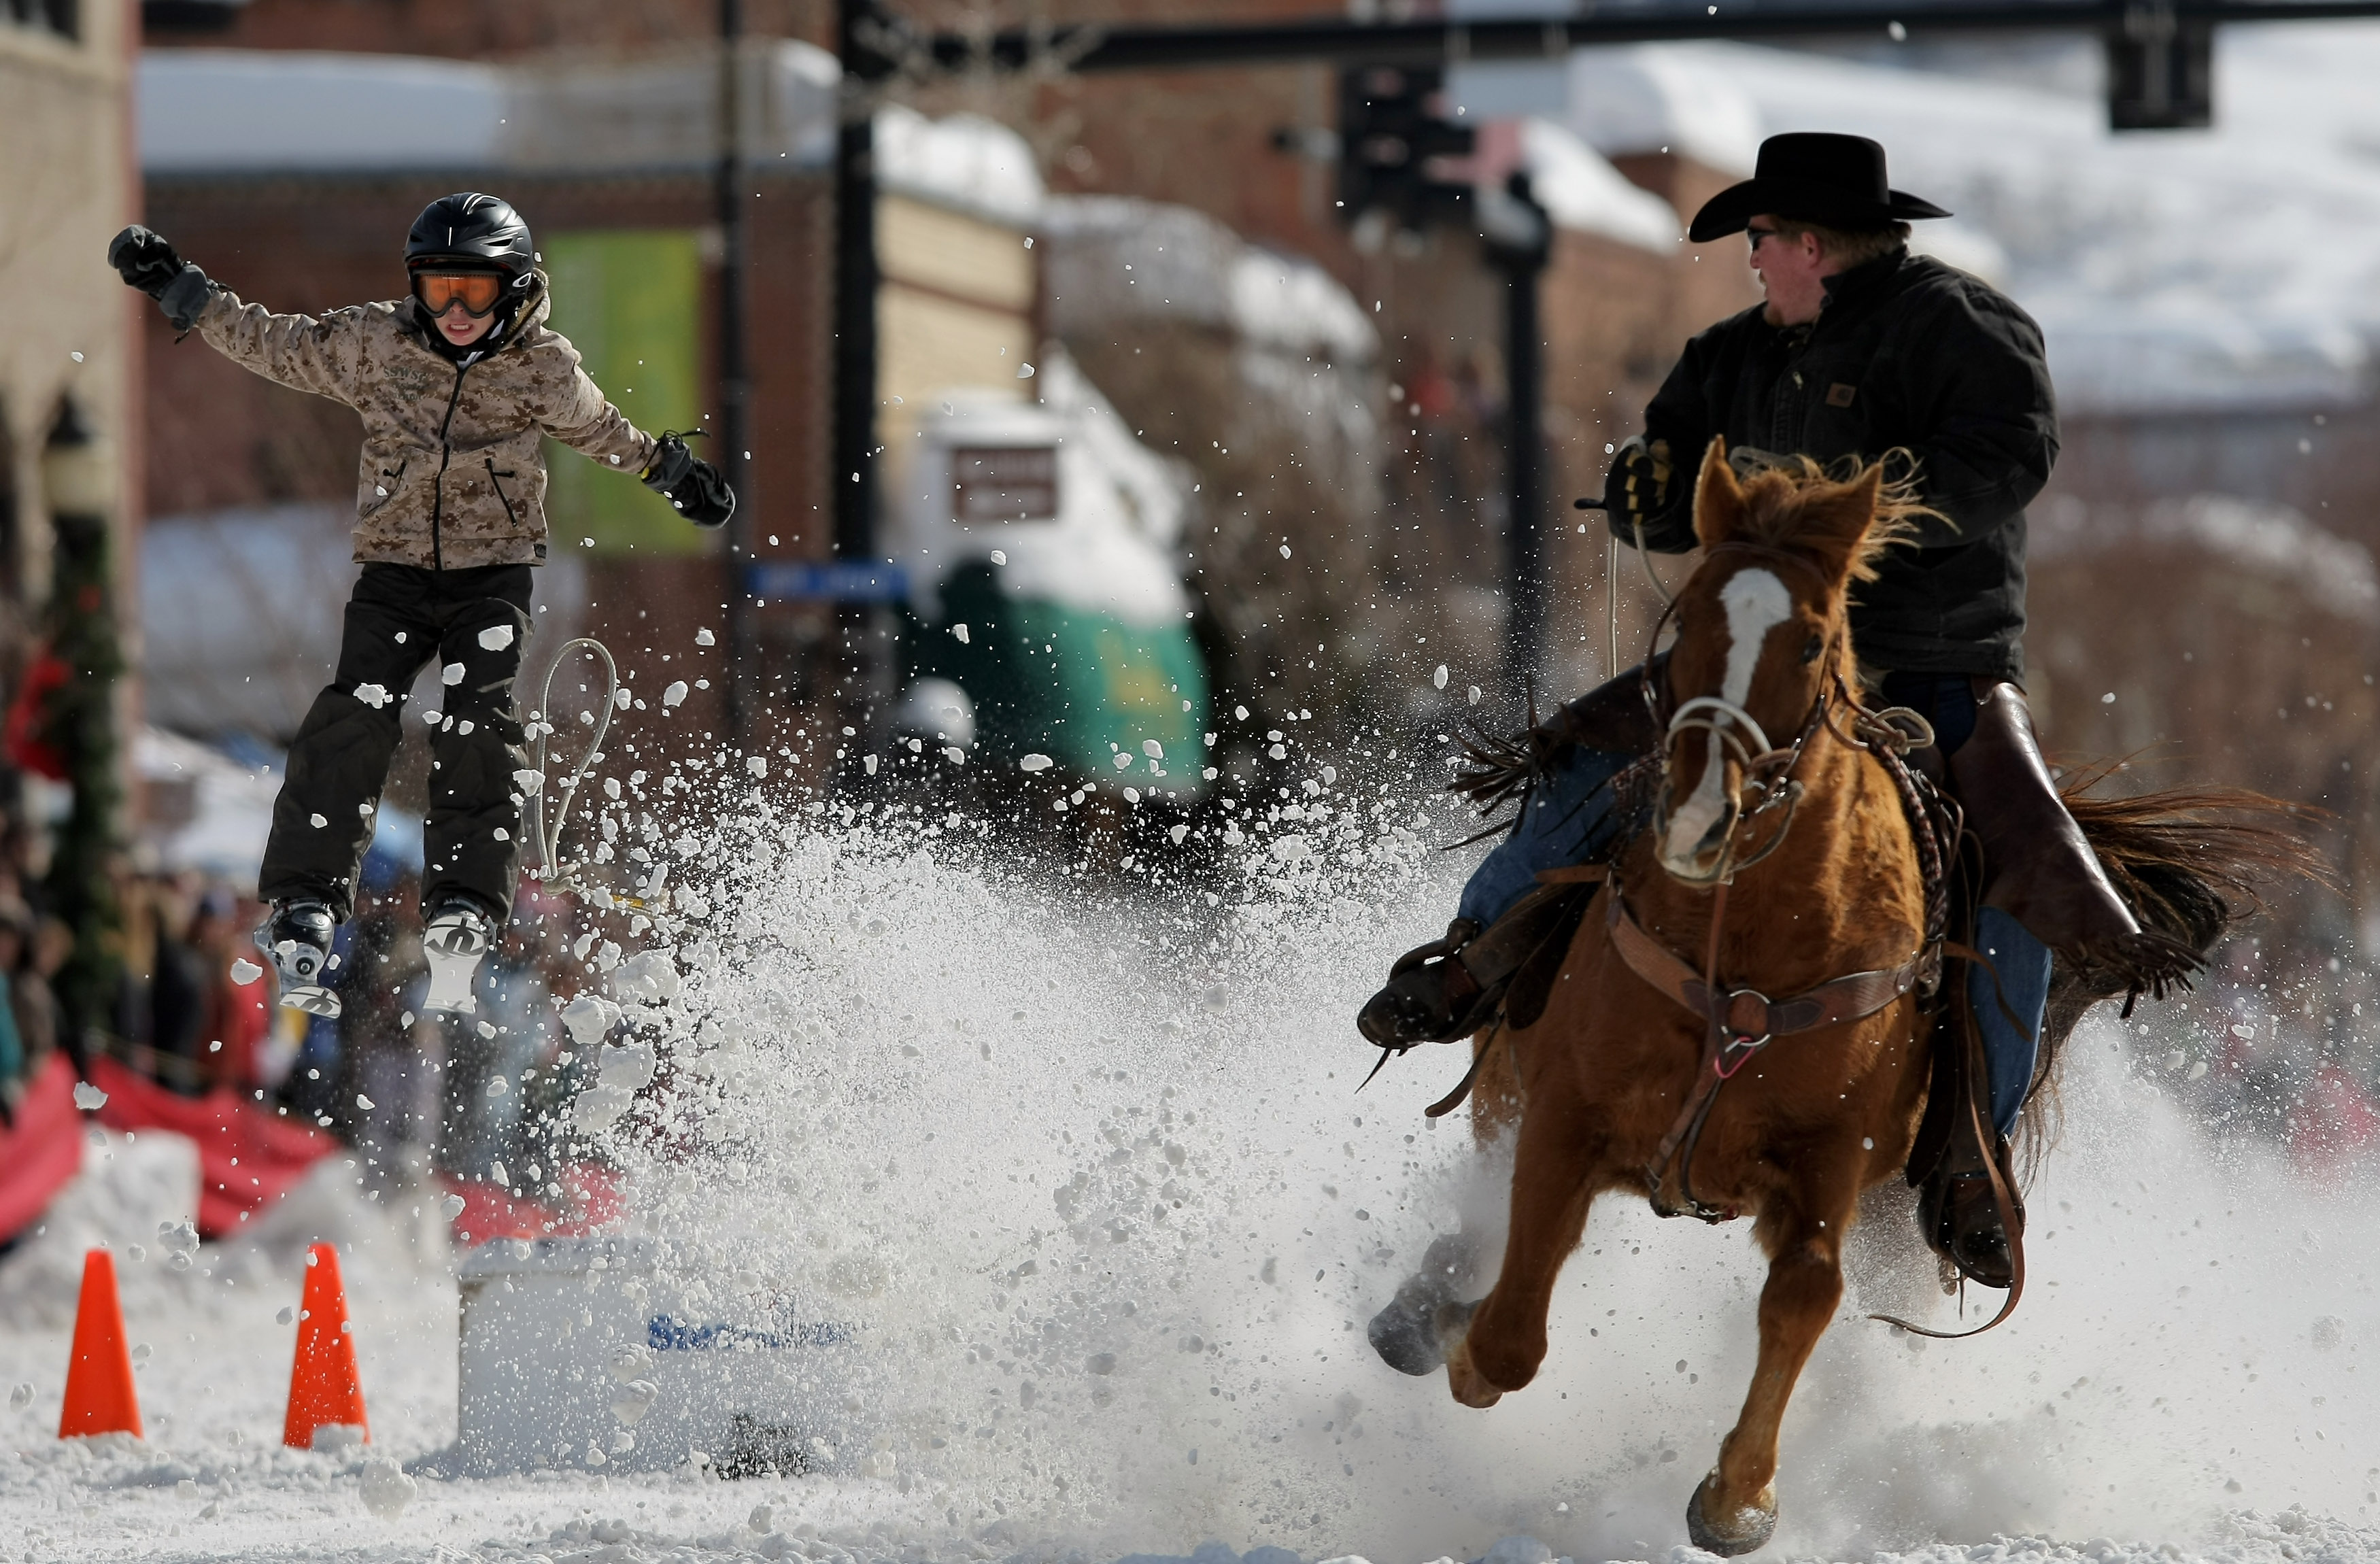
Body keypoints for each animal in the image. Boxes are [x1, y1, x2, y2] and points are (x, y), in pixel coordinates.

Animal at [1419, 440, 2311, 1555]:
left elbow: (1806, 1288)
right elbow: (1507, 1330)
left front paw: (1738, 1498)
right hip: (1502, 1075)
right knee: (1480, 1190)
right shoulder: (1565, 1117)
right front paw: (1455, 1336)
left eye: (1809, 641)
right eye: (1688, 623)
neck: (1745, 949)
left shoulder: (1832, 1160)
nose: (1701, 809)